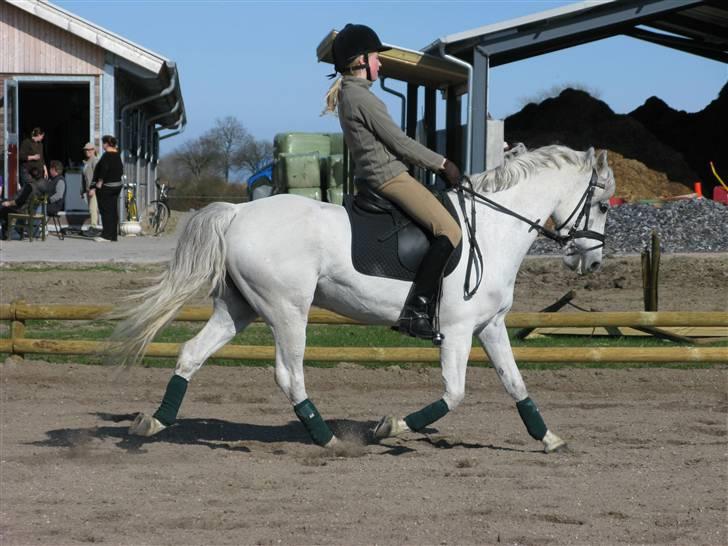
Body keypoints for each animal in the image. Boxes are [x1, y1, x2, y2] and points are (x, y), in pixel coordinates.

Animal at [119, 143, 616, 450]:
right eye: (602, 205)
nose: (591, 262)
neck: (493, 228)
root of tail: (239, 213)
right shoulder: (457, 331)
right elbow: (454, 394)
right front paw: (388, 427)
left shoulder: (489, 326)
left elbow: (516, 384)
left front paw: (549, 439)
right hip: (287, 311)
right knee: (289, 375)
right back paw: (328, 439)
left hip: (238, 309)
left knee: (191, 353)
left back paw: (154, 421)